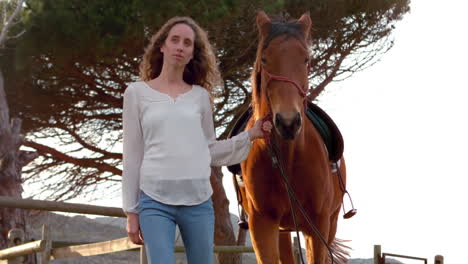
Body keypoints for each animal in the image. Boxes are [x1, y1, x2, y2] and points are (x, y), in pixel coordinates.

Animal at [239, 11, 350, 262]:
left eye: (306, 60)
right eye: (265, 59)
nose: (288, 122)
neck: (288, 159)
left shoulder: (318, 226)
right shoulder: (262, 225)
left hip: (329, 223)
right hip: (283, 231)